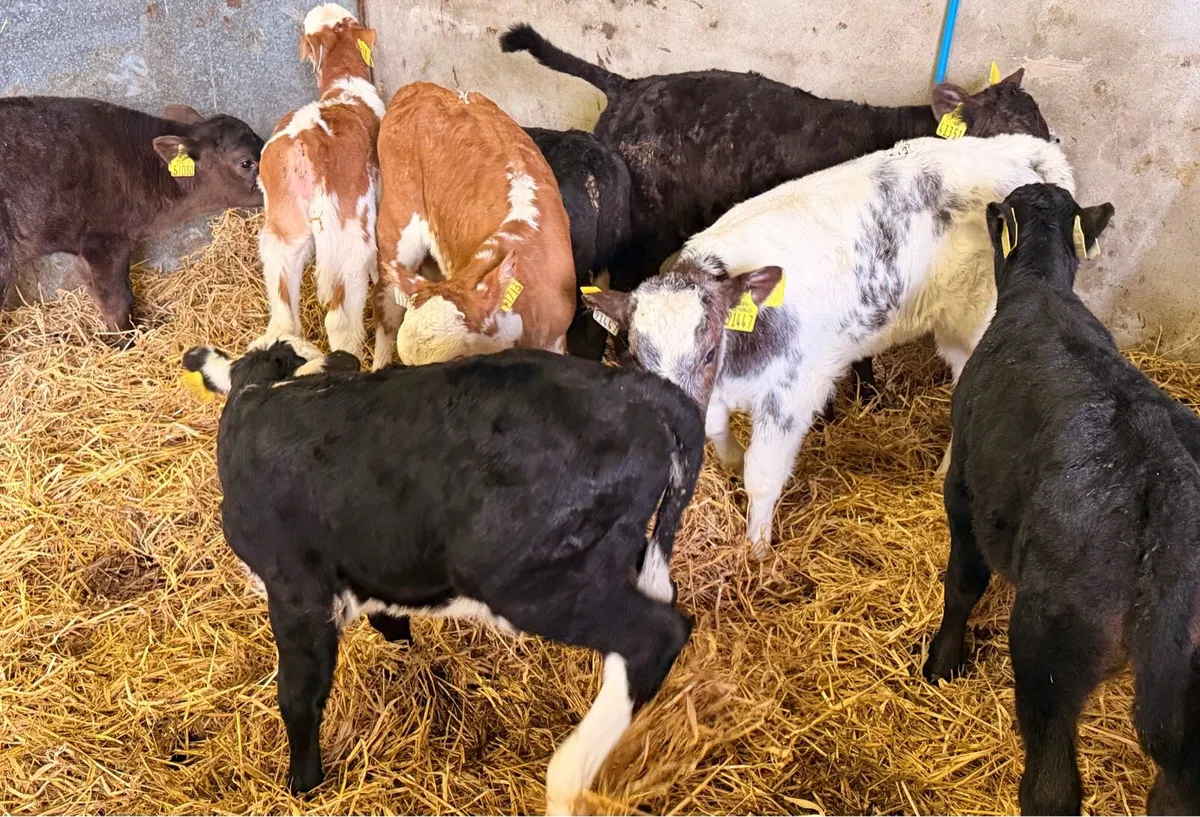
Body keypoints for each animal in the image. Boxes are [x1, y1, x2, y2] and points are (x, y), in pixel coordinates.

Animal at [0, 96, 264, 345]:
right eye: (246, 162)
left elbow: (97, 293)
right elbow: (119, 300)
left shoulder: (84, 249)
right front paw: (126, 342)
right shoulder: (106, 241)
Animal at [181, 339, 704, 815]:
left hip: (523, 582)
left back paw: (567, 780)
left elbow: (298, 694)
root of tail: (633, 387)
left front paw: (303, 784)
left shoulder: (295, 590)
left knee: (656, 634)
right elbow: (389, 623)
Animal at [585, 134, 1073, 559]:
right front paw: (729, 458)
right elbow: (715, 429)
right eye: (635, 357)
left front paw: (757, 552)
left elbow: (762, 473)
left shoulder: (792, 395)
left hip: (978, 322)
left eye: (707, 352)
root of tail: (1012, 150)